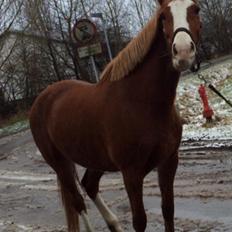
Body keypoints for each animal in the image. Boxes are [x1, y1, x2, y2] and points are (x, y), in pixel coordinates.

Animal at [30, 0, 201, 232]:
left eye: (196, 9)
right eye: (164, 16)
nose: (183, 52)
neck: (143, 103)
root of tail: (41, 99)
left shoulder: (169, 161)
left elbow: (168, 210)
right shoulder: (131, 173)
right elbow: (140, 221)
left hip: (94, 158)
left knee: (89, 185)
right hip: (60, 164)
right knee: (77, 201)